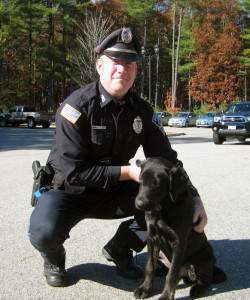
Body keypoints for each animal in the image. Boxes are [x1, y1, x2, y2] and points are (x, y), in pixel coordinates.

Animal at [135, 158, 227, 298]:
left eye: (157, 184)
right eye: (140, 179)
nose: (139, 204)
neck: (163, 207)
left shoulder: (179, 244)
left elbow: (171, 275)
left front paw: (166, 297)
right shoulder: (152, 238)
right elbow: (149, 266)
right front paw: (144, 288)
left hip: (205, 257)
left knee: (206, 280)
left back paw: (197, 289)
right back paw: (160, 271)